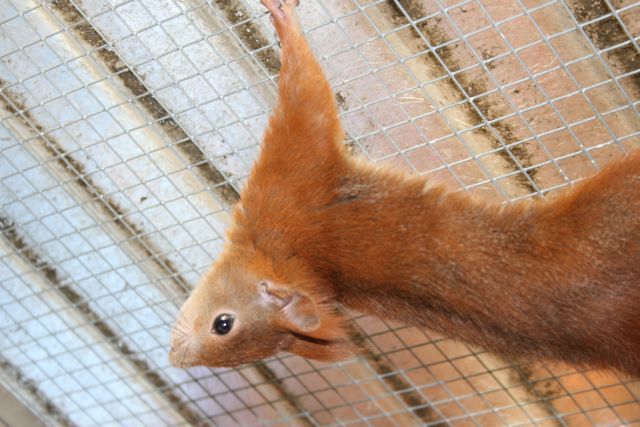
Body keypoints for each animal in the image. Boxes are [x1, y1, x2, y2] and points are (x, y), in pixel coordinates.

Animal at [168, 0, 636, 378]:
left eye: (222, 324)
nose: (175, 356)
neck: (291, 260)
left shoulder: (287, 182)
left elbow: (305, 98)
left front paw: (286, 25)